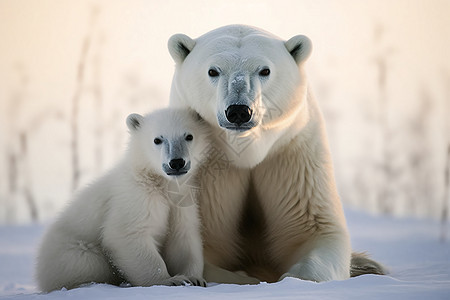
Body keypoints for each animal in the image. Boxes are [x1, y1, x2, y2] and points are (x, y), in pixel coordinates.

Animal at [35, 108, 209, 292]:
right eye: (157, 139)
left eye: (189, 136)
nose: (176, 163)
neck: (159, 182)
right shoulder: (135, 197)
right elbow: (127, 233)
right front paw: (170, 280)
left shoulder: (182, 198)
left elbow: (183, 236)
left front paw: (194, 278)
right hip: (70, 253)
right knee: (89, 263)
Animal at [167, 24, 384, 284]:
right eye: (213, 71)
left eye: (265, 70)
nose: (239, 111)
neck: (247, 150)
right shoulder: (205, 171)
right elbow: (200, 245)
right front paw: (245, 277)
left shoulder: (292, 153)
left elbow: (314, 230)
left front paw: (292, 278)